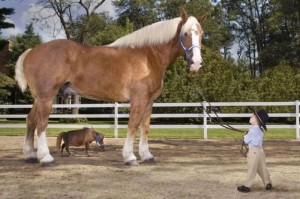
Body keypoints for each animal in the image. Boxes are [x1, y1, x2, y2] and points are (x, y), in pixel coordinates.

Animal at [15, 10, 205, 166]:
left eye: (201, 34)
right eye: (185, 33)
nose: (196, 63)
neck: (147, 57)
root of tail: (31, 51)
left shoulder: (149, 101)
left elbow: (145, 127)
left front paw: (147, 156)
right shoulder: (138, 99)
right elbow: (133, 125)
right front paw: (130, 157)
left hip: (39, 98)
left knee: (30, 121)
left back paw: (30, 156)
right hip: (47, 97)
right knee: (41, 124)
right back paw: (46, 158)